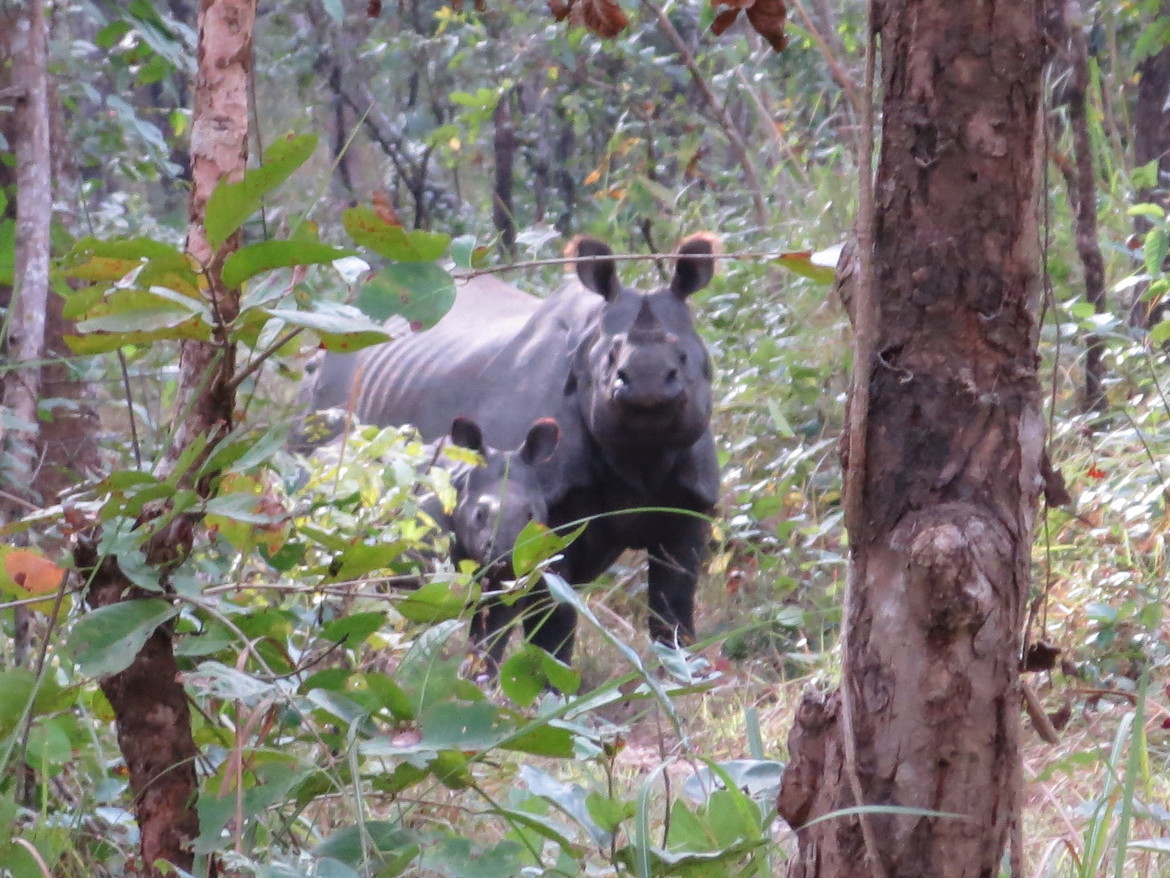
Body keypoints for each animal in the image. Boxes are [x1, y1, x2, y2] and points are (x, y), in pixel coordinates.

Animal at [306, 235, 720, 664]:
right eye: (609, 359)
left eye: (685, 358)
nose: (647, 383)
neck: (638, 456)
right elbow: (555, 620)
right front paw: (551, 679)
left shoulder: (691, 502)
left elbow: (674, 613)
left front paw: (681, 671)